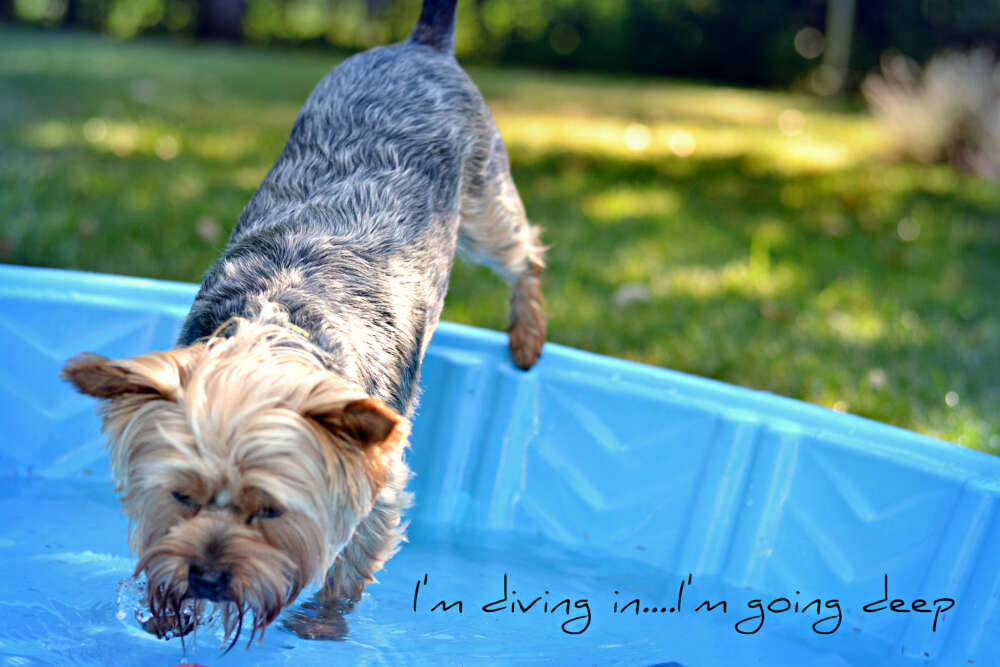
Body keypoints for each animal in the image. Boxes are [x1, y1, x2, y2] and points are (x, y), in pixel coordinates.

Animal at [60, 0, 548, 648]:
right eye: (181, 496)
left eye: (271, 510)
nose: (207, 577)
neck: (269, 330)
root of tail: (420, 45)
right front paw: (161, 611)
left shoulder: (379, 480)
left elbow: (349, 566)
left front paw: (321, 624)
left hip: (484, 193)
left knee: (523, 252)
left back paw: (528, 335)